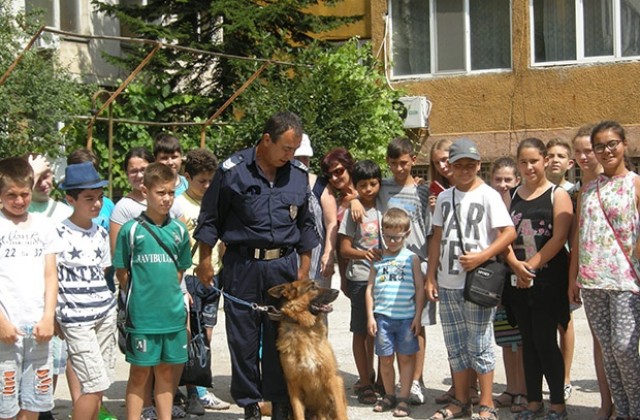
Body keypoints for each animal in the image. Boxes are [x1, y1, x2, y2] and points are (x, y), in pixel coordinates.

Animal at [270, 278, 350, 420]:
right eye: (312, 288)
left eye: (318, 284)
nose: (337, 291)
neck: (304, 327)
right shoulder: (293, 386)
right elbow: (298, 414)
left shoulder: (332, 379)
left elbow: (340, 411)